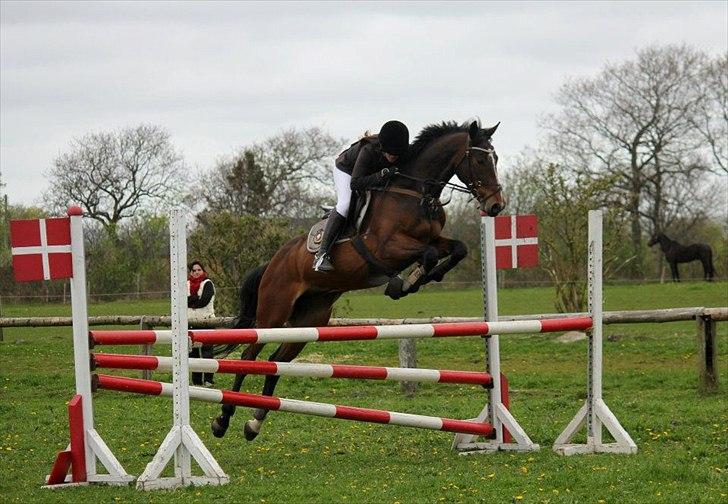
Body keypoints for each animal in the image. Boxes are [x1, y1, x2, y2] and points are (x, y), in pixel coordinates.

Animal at [210, 120, 506, 440]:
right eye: (480, 160)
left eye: (495, 158)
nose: (496, 206)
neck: (415, 192)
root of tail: (273, 261)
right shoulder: (386, 249)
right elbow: (426, 254)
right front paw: (405, 282)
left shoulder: (434, 239)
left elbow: (458, 249)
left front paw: (426, 276)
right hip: (273, 313)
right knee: (249, 355)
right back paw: (223, 419)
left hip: (310, 318)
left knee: (278, 361)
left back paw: (254, 422)